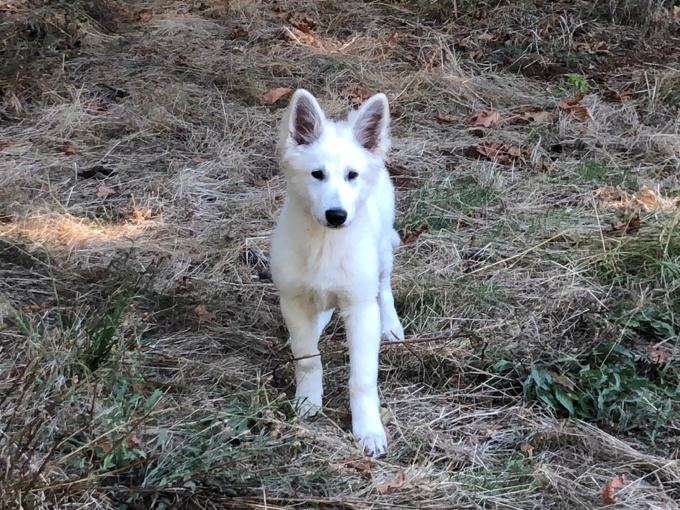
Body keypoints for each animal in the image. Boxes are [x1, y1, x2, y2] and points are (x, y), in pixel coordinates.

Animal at [270, 89, 404, 456]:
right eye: (317, 174)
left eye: (351, 175)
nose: (336, 215)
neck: (325, 244)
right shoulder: (293, 300)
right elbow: (307, 358)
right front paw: (307, 402)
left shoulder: (360, 308)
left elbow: (363, 379)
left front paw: (368, 430)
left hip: (382, 252)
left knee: (384, 286)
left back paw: (392, 325)